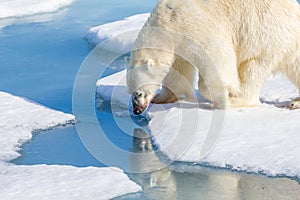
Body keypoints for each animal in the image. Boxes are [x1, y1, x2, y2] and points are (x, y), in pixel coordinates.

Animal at [126, 0, 300, 114]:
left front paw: (221, 96)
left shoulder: (191, 23)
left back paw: (236, 100)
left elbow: (217, 56)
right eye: (131, 92)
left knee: (253, 69)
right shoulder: (177, 44)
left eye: (139, 93)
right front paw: (162, 97)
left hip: (266, 36)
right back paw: (295, 102)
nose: (136, 110)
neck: (167, 20)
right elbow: (178, 70)